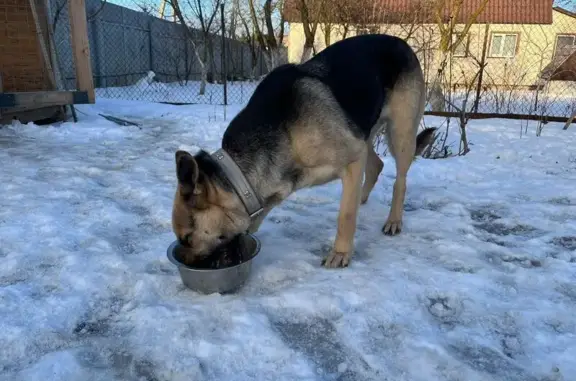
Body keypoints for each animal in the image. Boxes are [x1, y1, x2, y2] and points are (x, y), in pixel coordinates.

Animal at [171, 34, 436, 268]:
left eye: (187, 238)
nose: (181, 261)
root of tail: (401, 42)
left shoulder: (353, 157)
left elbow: (345, 215)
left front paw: (340, 253)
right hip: (364, 130)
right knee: (376, 165)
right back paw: (362, 196)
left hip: (400, 134)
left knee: (400, 179)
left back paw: (394, 220)